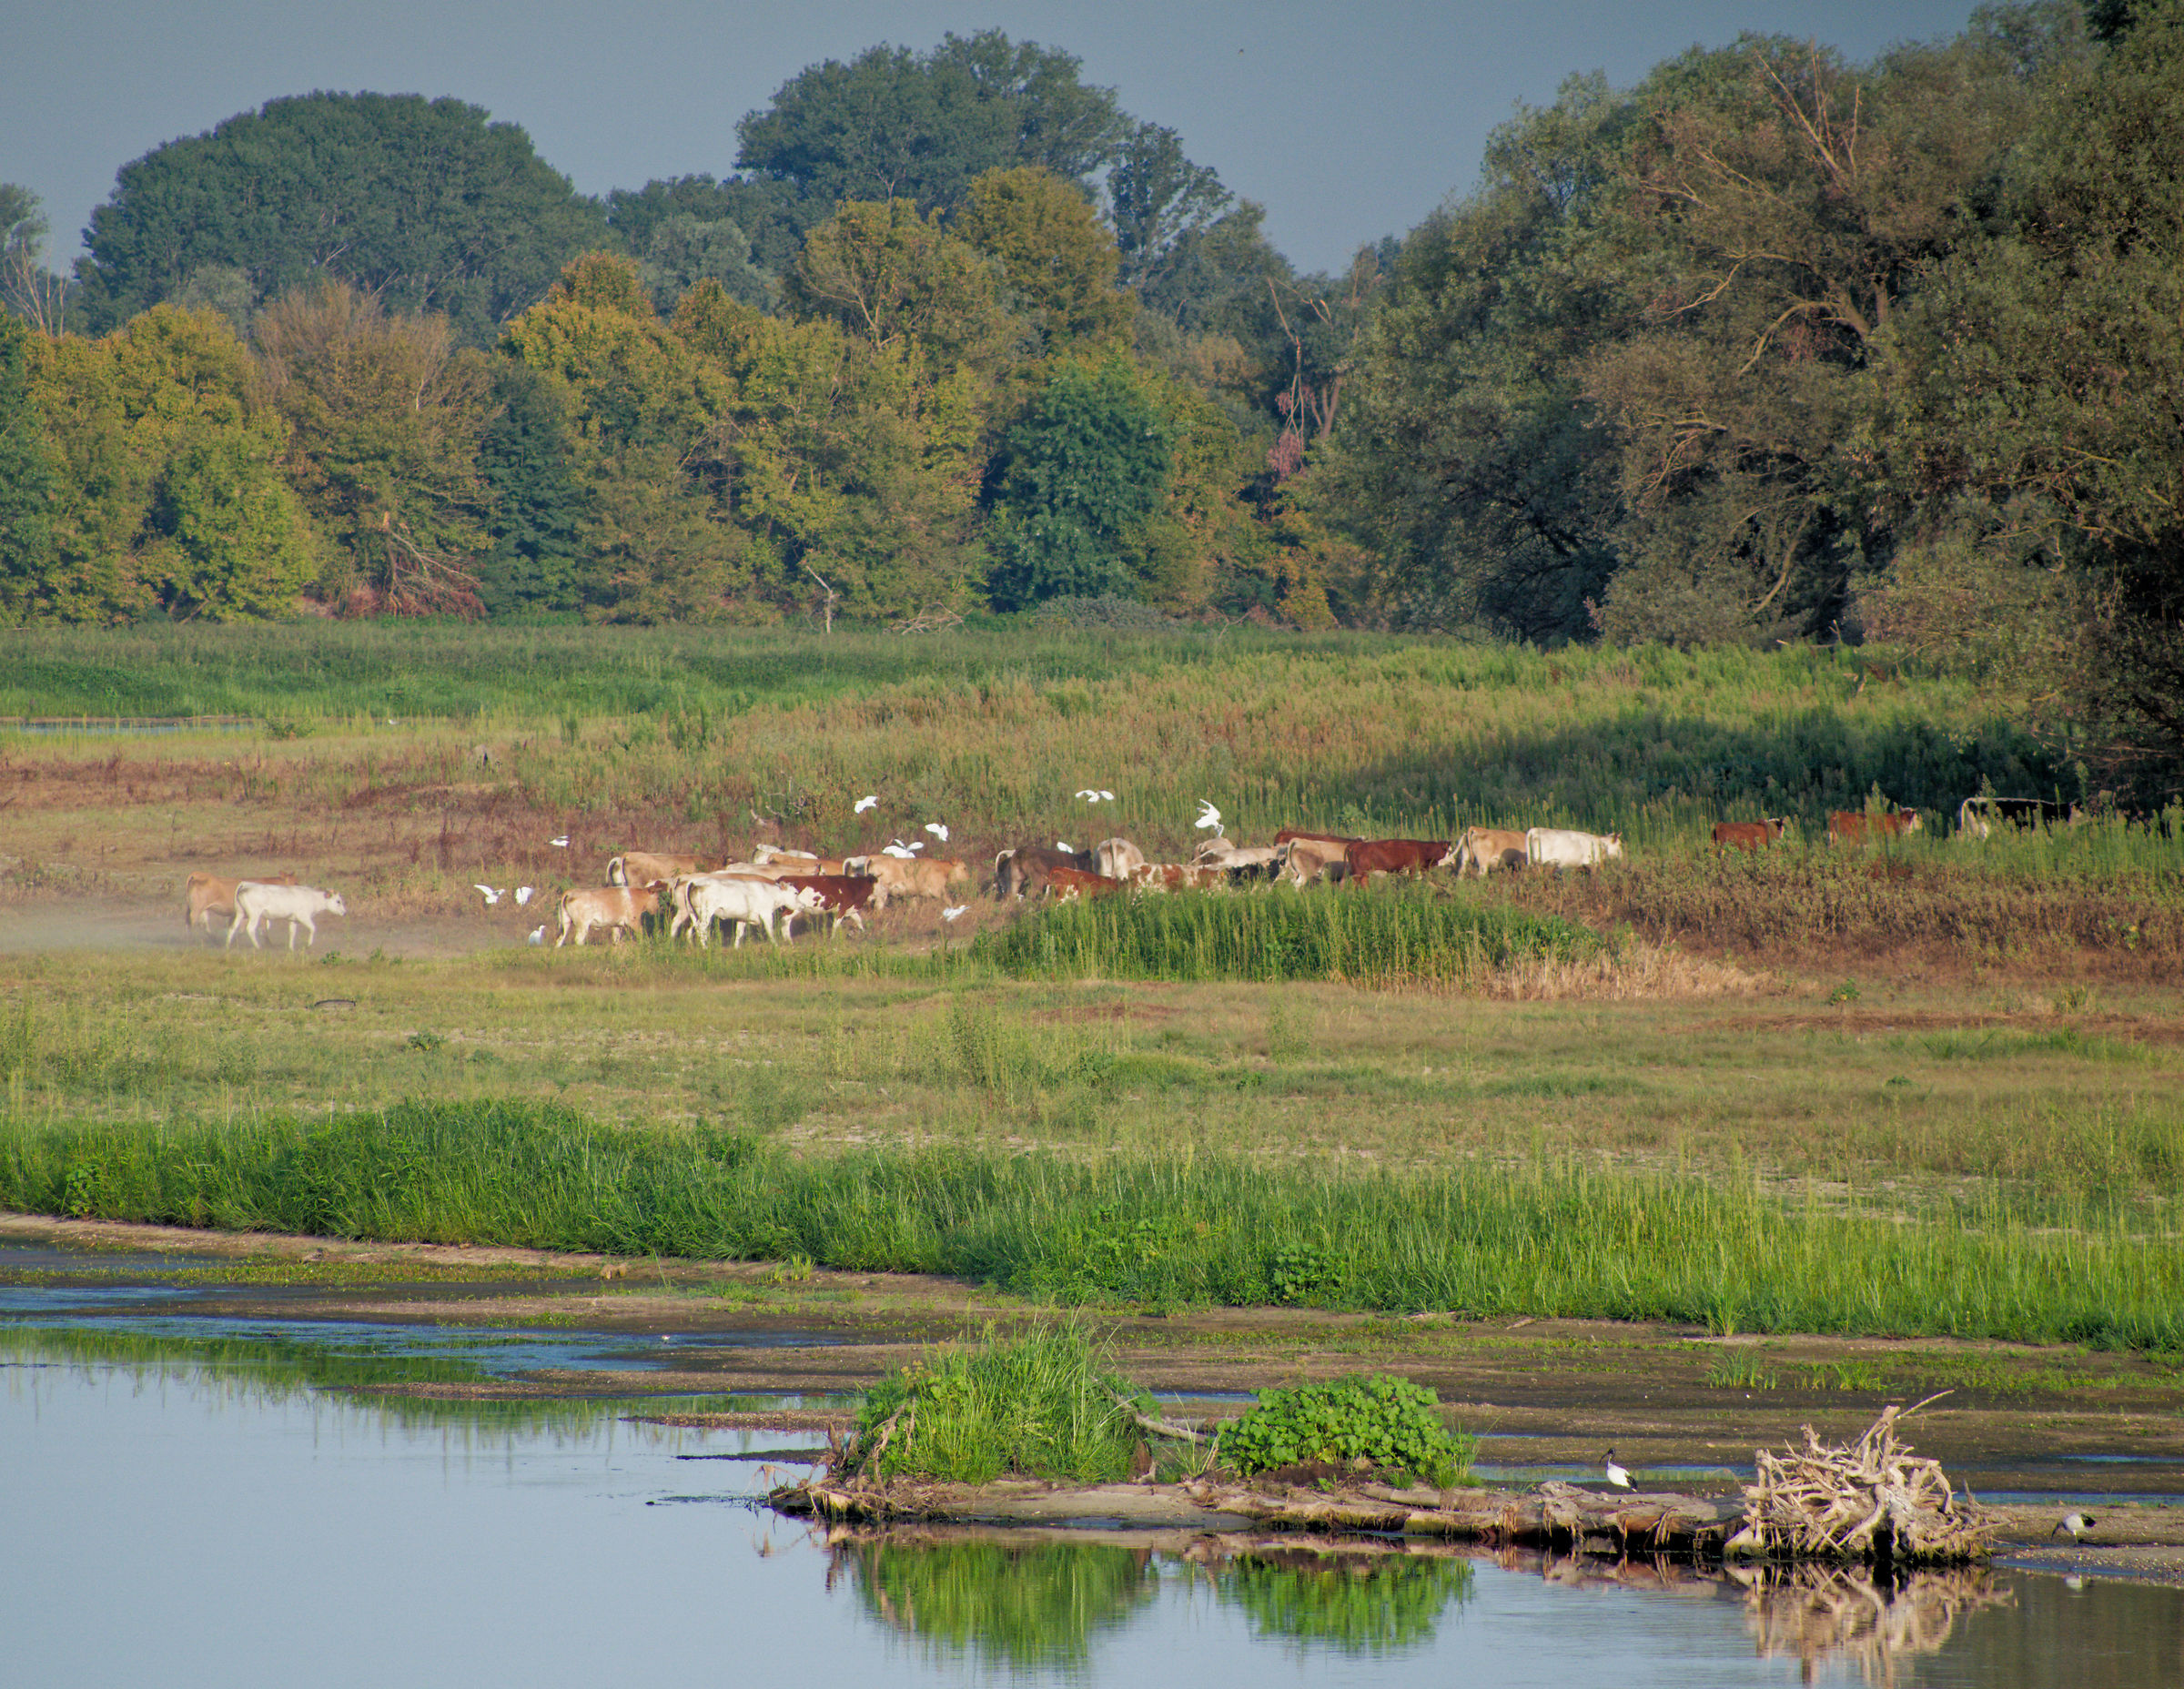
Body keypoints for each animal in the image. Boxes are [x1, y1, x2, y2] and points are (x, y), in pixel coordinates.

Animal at [225, 883, 347, 951]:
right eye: (338, 901)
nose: (345, 912)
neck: (312, 898)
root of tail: (246, 885)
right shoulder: (303, 917)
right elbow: (313, 928)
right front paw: (309, 944)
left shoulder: (293, 920)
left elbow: (292, 933)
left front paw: (291, 948)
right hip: (255, 914)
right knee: (250, 929)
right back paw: (258, 947)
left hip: (240, 913)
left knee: (233, 927)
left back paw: (228, 946)